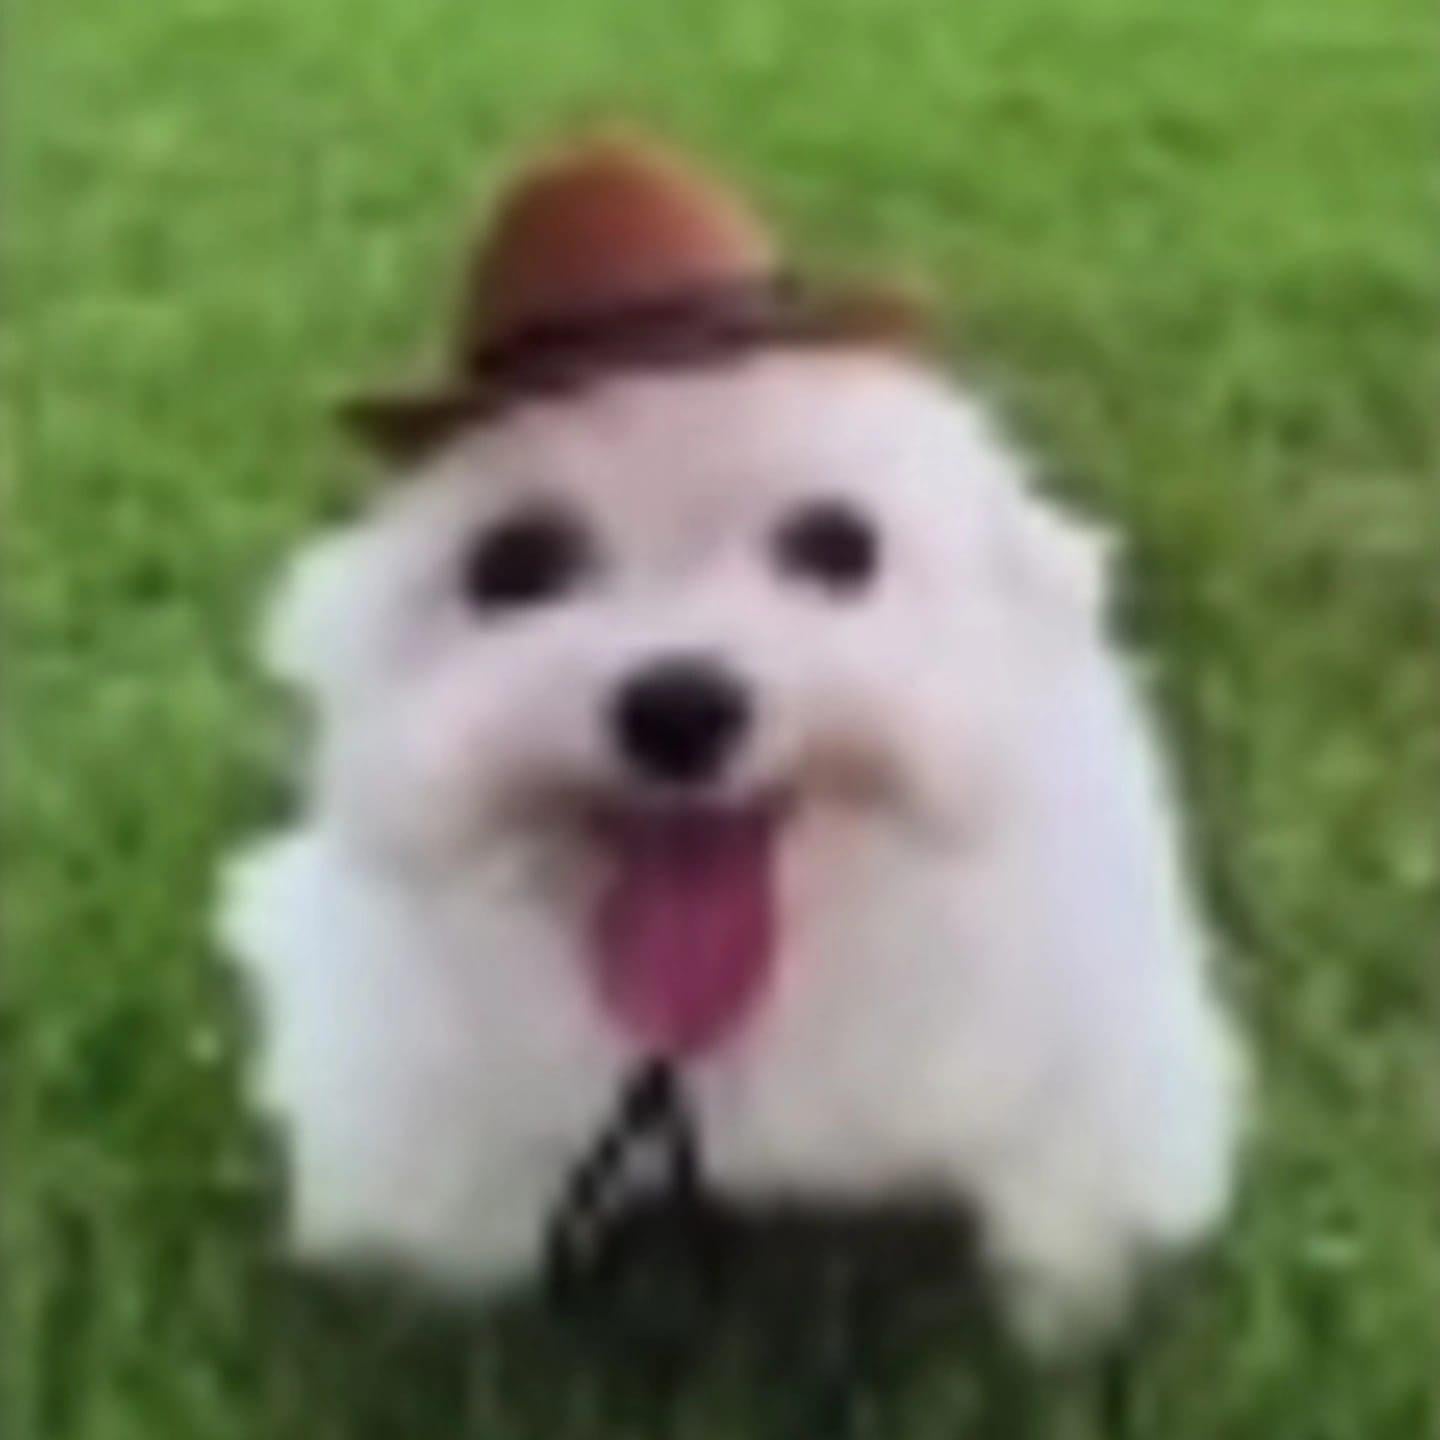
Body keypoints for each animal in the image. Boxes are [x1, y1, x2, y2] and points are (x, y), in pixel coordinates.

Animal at [218, 133, 1243, 1354]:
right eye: (517, 565)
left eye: (836, 544)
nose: (678, 706)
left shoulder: (1090, 1063)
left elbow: (1068, 1219)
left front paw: (1067, 1324)